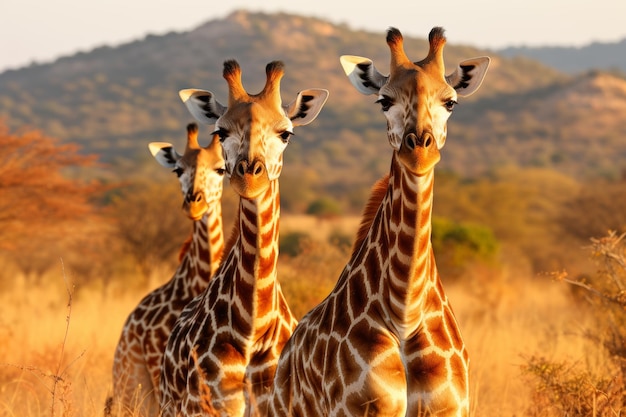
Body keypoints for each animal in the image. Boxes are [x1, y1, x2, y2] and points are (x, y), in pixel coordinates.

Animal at [268, 27, 488, 414]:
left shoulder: (451, 407)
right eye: (384, 101)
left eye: (451, 102)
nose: (420, 150)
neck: (405, 310)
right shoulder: (359, 408)